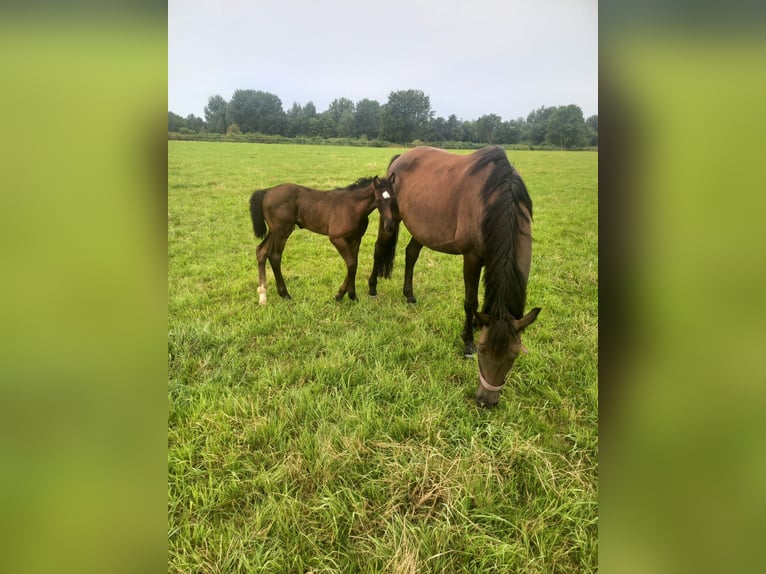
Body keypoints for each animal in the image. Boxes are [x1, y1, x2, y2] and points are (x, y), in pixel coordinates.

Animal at [250, 177, 400, 306]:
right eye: (379, 200)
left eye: (394, 199)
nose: (389, 226)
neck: (352, 207)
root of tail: (267, 191)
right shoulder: (336, 238)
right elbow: (351, 264)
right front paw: (339, 295)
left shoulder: (356, 239)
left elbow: (354, 264)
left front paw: (352, 296)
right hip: (282, 231)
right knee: (275, 256)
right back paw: (284, 294)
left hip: (274, 231)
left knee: (261, 251)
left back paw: (262, 296)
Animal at [368, 148, 544, 410]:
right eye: (482, 350)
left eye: (514, 355)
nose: (486, 401)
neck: (495, 201)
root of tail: (401, 156)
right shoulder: (471, 257)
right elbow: (470, 301)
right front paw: (467, 341)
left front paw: (476, 323)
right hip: (389, 221)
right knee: (379, 249)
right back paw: (372, 288)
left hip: (422, 229)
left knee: (411, 254)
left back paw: (409, 294)